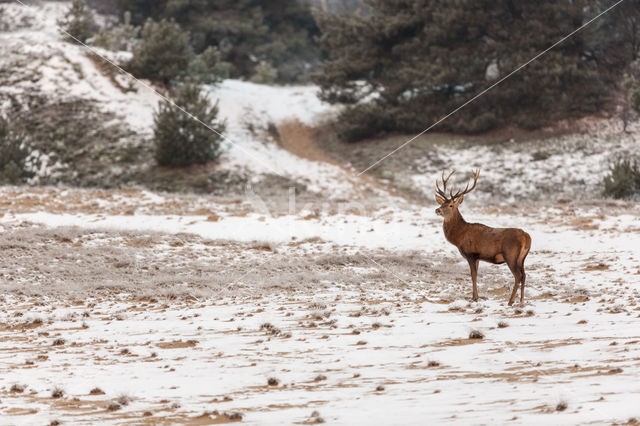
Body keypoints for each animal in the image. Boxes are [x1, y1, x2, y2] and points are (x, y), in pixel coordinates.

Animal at [432, 170, 532, 306]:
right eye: (442, 203)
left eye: (451, 205)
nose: (437, 210)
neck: (459, 237)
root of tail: (526, 236)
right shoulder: (478, 257)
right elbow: (476, 275)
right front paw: (476, 296)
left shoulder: (471, 254)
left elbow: (473, 275)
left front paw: (474, 298)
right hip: (522, 258)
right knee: (524, 275)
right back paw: (521, 301)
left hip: (510, 255)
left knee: (518, 276)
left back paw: (510, 301)